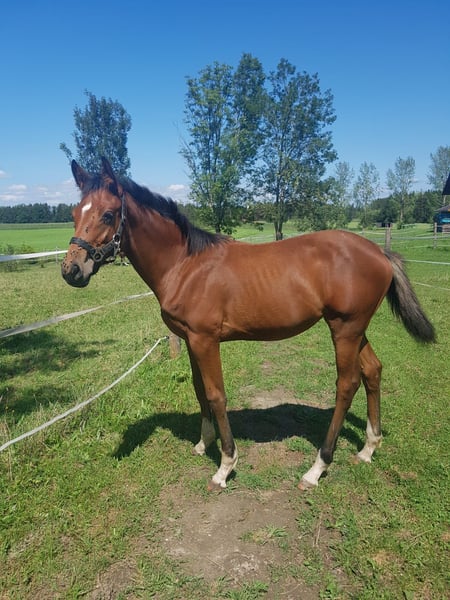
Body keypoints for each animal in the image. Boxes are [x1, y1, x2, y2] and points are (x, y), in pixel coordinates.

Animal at [61, 158, 435, 491]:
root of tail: (379, 253)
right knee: (373, 370)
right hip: (356, 329)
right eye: (74, 214)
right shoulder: (191, 339)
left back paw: (317, 468)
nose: (71, 271)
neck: (185, 265)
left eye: (108, 214)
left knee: (347, 384)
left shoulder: (205, 340)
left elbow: (216, 395)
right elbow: (199, 390)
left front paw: (225, 466)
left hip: (344, 328)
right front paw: (203, 444)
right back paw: (368, 448)